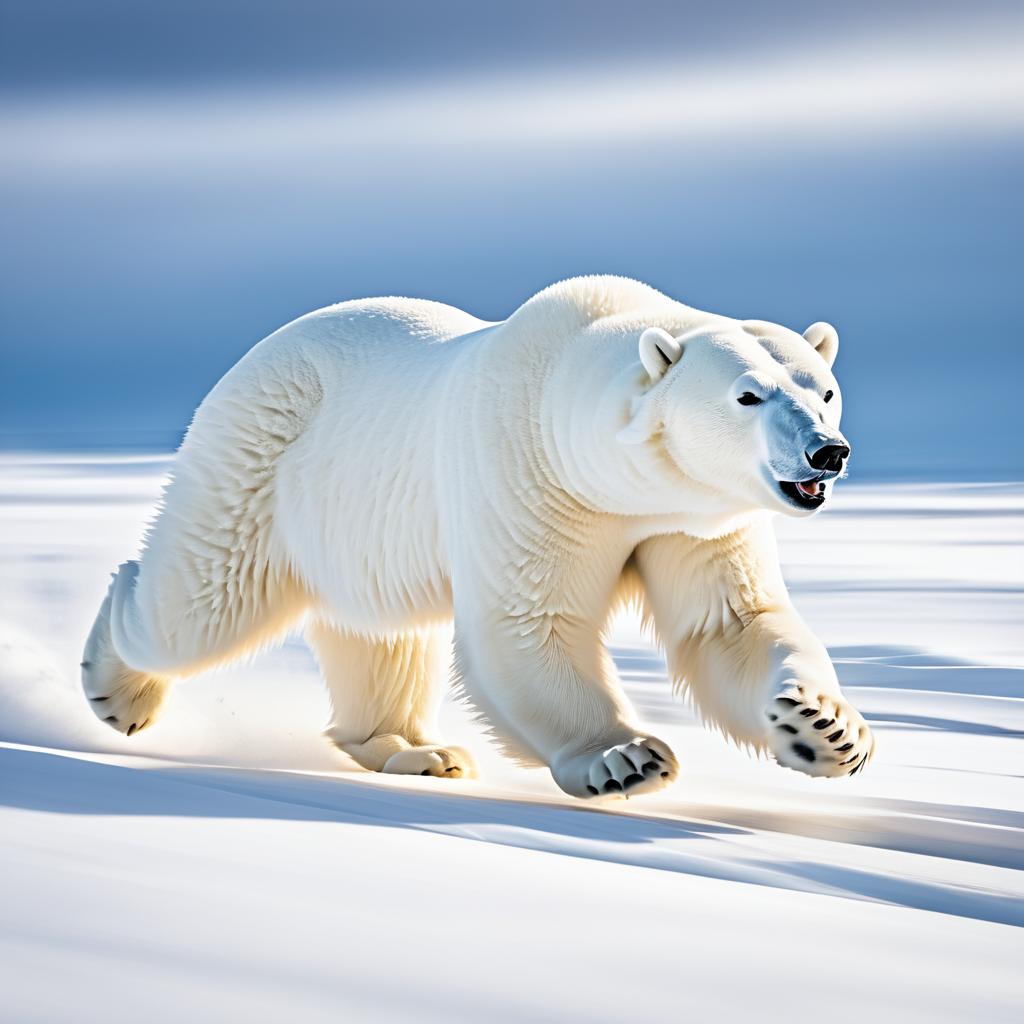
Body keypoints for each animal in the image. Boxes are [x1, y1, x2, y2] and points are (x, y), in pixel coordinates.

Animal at [83, 276, 876, 794]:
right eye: (748, 395)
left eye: (825, 389)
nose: (827, 453)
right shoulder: (529, 478)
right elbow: (528, 622)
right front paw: (625, 758)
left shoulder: (694, 517)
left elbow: (729, 625)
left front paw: (826, 728)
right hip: (261, 459)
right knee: (203, 600)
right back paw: (117, 683)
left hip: (361, 528)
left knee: (383, 635)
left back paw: (416, 749)